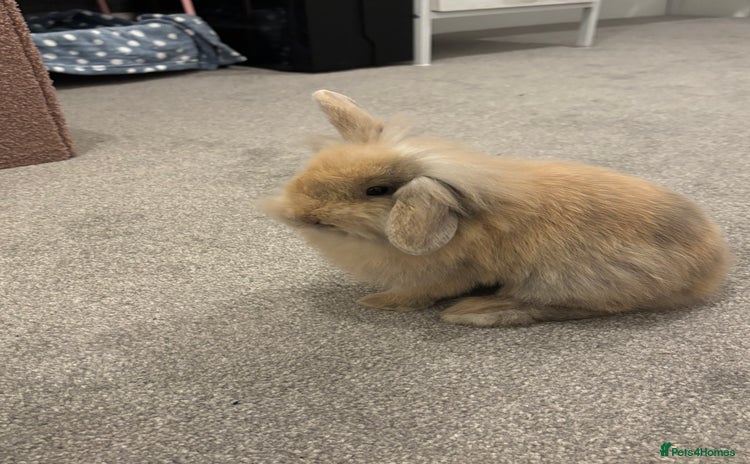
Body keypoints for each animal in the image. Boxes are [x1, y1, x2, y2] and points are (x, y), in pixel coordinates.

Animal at [261, 90, 731, 327]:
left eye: (376, 189)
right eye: (314, 167)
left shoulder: (446, 275)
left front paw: (377, 302)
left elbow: (417, 294)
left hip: (568, 280)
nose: (296, 213)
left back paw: (476, 312)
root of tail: (712, 269)